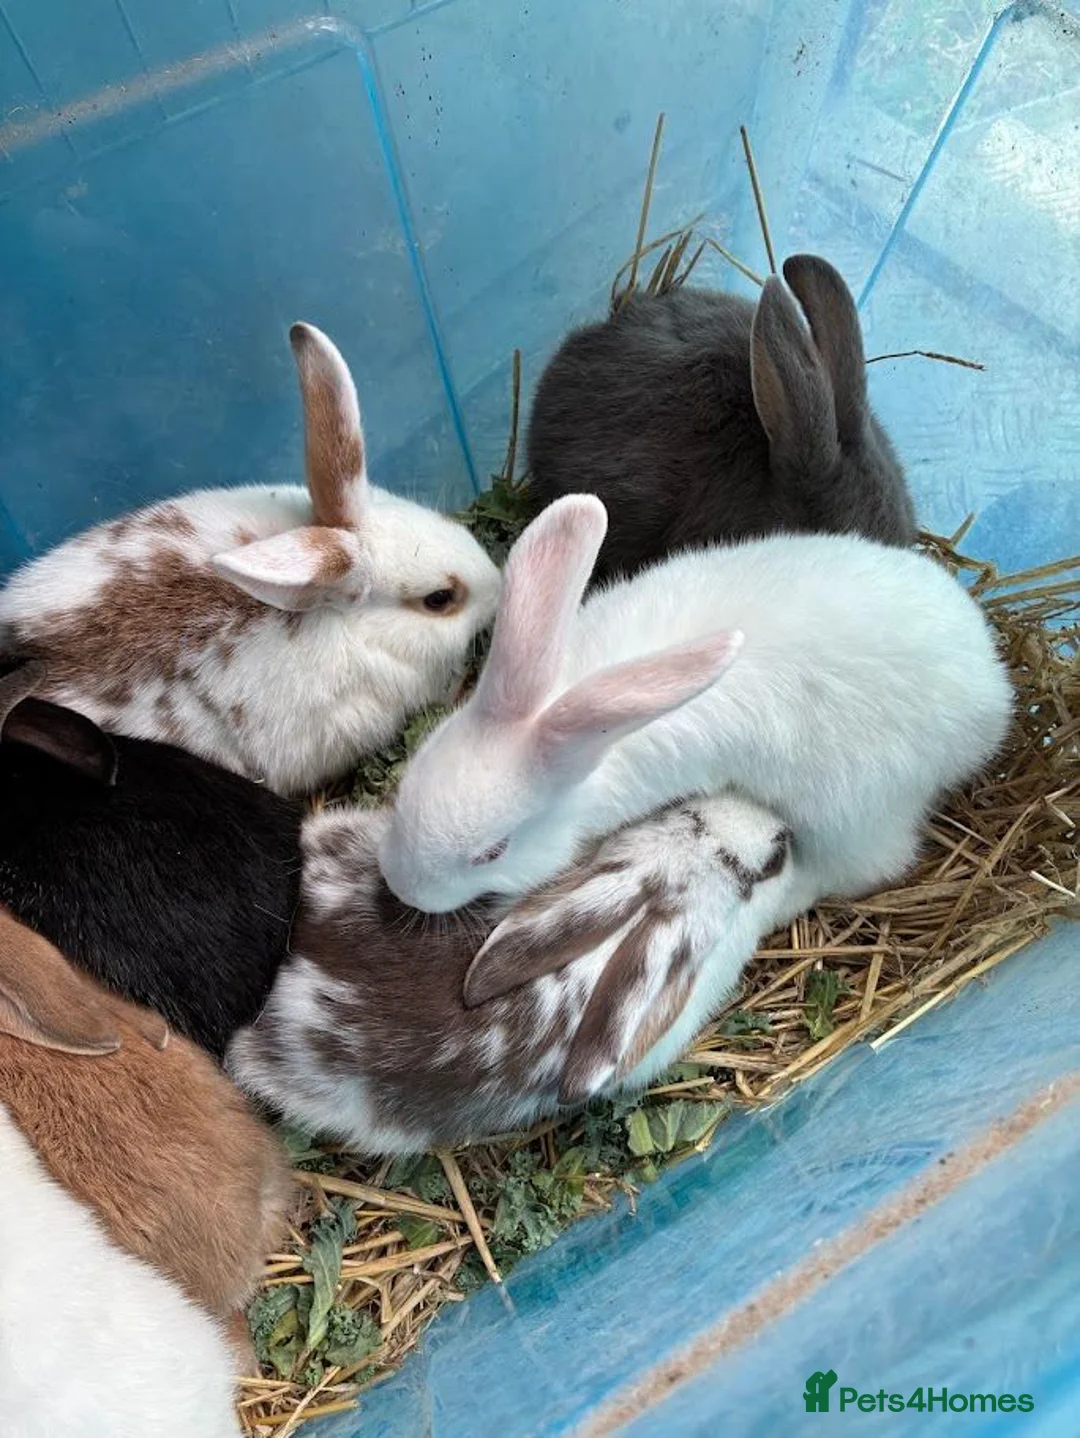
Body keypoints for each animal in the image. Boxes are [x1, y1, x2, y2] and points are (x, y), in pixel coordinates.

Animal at [379, 494, 1012, 915]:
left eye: (492, 852)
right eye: (405, 786)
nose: (402, 889)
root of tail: (992, 695)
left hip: (852, 808)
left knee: (864, 868)